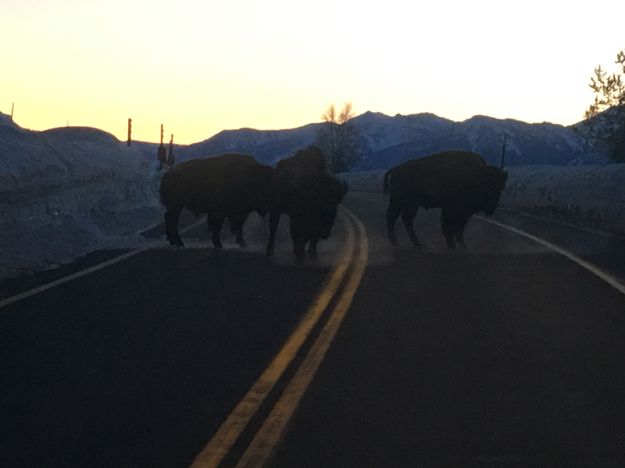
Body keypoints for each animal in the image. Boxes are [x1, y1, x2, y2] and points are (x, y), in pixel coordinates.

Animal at [380, 152, 508, 250]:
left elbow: (459, 228)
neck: (477, 177)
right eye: (486, 187)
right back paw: (404, 243)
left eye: (500, 188)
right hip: (405, 204)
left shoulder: (463, 213)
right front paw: (452, 245)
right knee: (398, 218)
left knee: (397, 218)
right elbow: (449, 227)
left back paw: (405, 243)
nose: (491, 208)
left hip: (403, 204)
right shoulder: (452, 210)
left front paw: (462, 245)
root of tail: (395, 169)